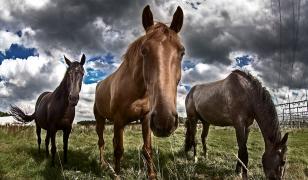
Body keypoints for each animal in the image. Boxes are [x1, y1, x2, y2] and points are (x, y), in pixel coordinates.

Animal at [94, 4, 184, 178]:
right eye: (143, 50)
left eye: (182, 52)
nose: (165, 121)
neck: (137, 92)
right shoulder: (118, 120)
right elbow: (118, 150)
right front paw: (117, 175)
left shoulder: (146, 119)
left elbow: (147, 150)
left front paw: (152, 175)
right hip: (100, 120)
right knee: (101, 142)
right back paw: (102, 164)